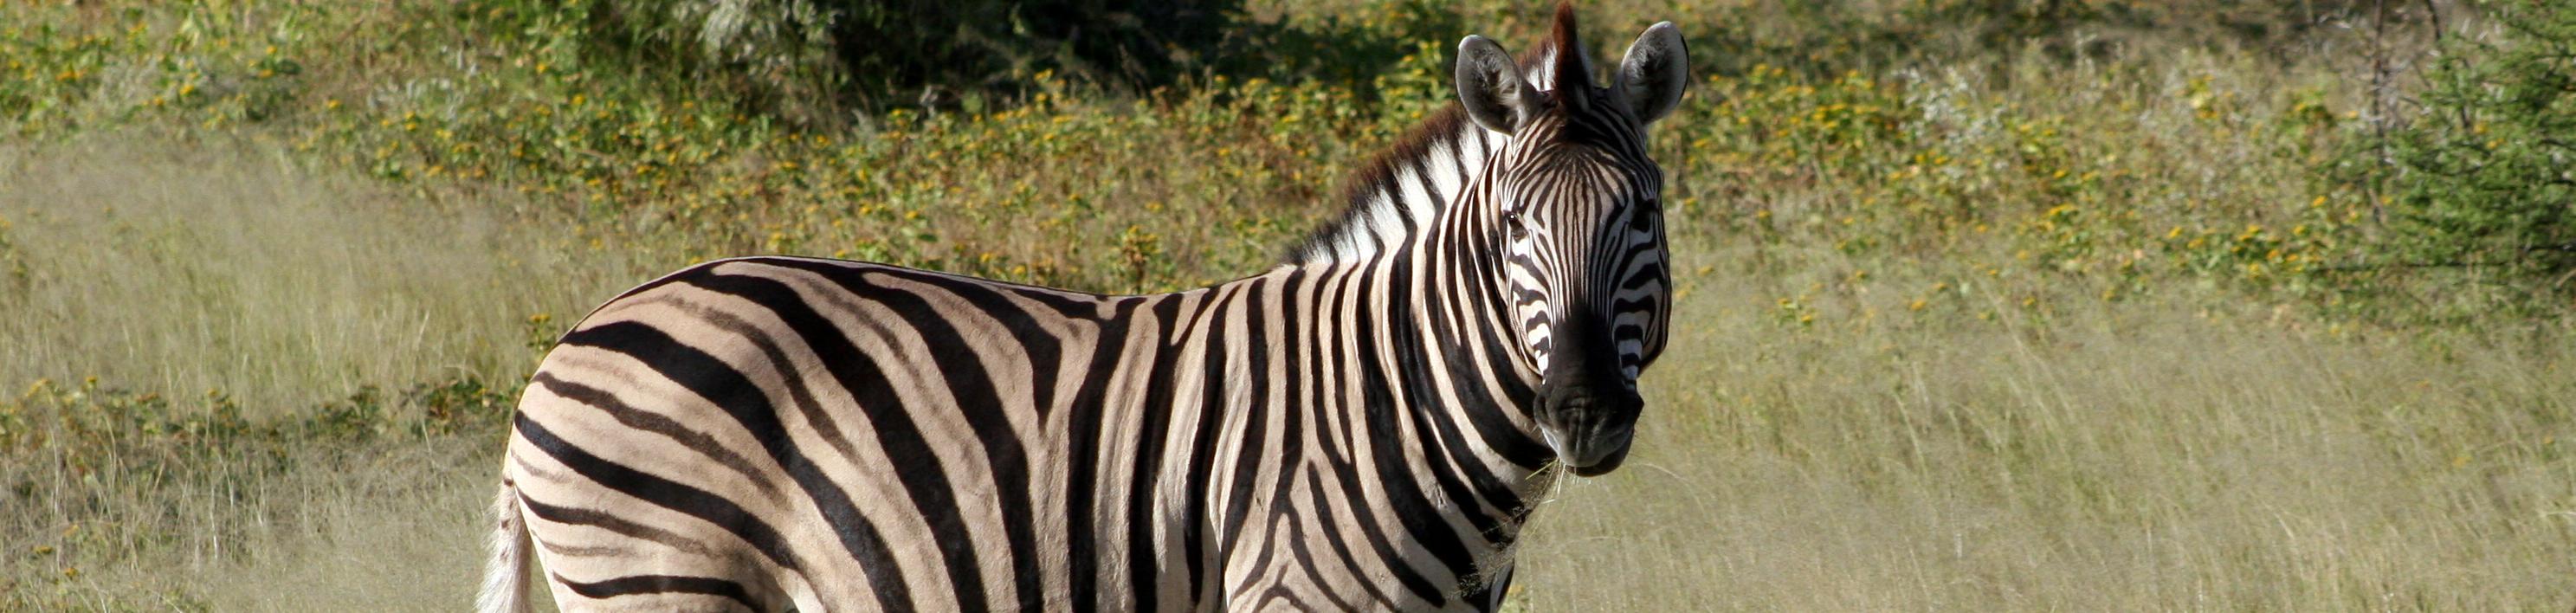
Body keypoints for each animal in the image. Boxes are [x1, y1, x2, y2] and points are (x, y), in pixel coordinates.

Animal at [479, 5, 1687, 611]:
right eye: (1512, 228)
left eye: (1641, 213)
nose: (1582, 412)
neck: (1397, 399)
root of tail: (561, 350)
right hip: (658, 573)